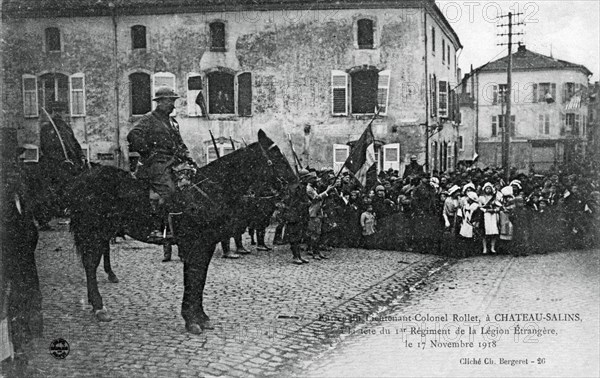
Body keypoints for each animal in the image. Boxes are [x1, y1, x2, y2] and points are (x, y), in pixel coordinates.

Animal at [68, 131, 298, 334]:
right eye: (276, 154)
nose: (295, 183)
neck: (208, 191)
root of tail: (82, 178)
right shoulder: (193, 244)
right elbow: (192, 278)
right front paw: (191, 320)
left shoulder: (206, 245)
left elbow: (199, 279)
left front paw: (201, 317)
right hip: (93, 232)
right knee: (90, 265)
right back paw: (99, 307)